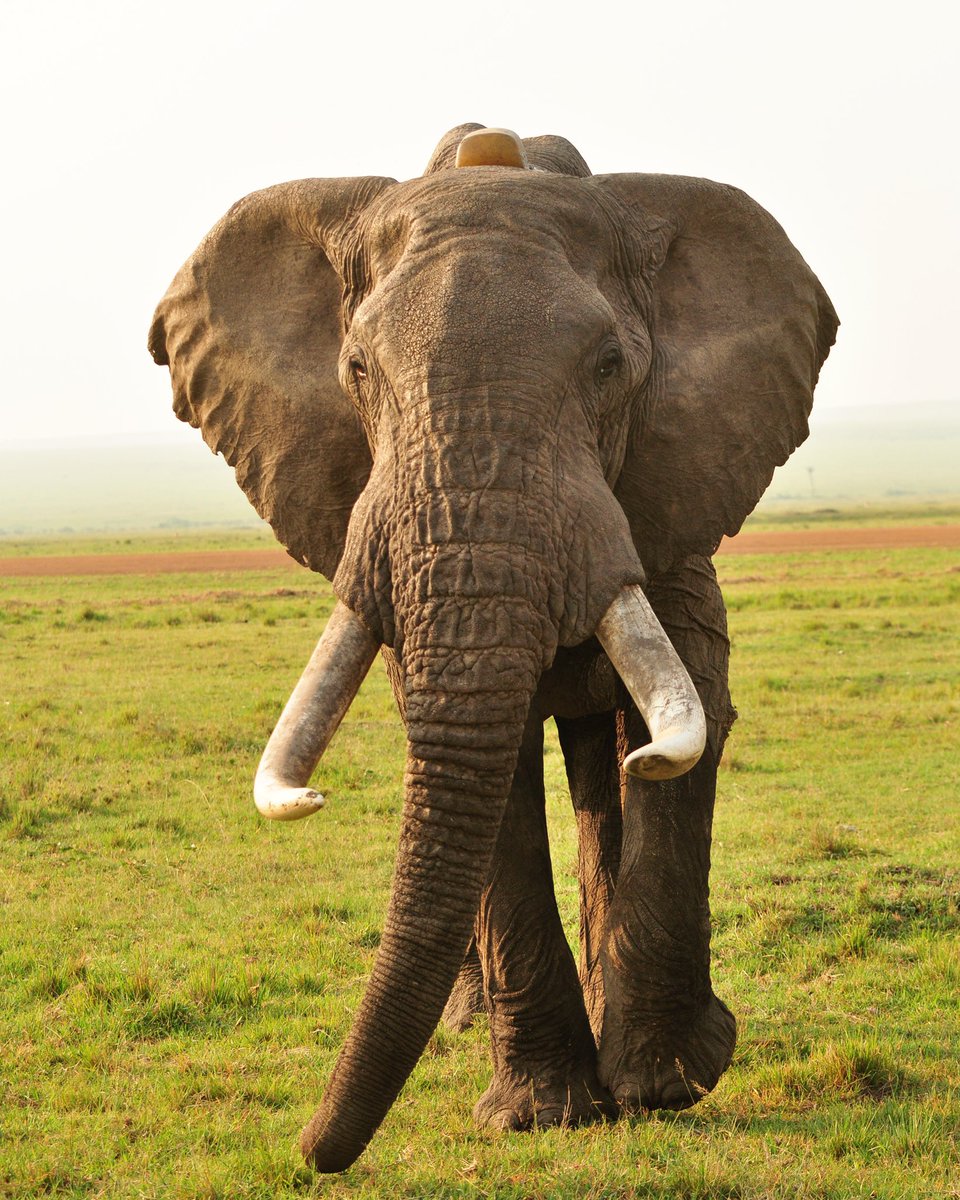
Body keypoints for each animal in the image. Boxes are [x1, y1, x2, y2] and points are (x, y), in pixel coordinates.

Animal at [149, 124, 837, 1172]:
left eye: (608, 366)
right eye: (357, 370)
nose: (309, 1154)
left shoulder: (671, 479)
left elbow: (687, 715)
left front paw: (666, 1085)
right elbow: (487, 763)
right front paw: (545, 1113)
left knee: (605, 762)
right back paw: (469, 1019)